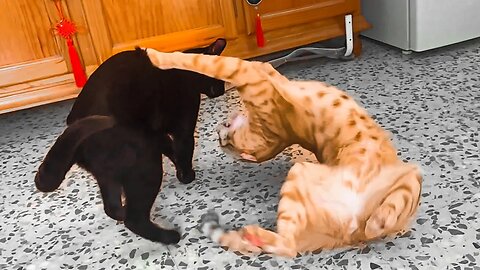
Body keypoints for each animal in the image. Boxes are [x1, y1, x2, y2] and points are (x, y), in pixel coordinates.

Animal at [35, 39, 227, 245]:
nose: (223, 89)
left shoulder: (157, 133)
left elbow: (170, 149)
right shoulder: (182, 128)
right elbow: (184, 152)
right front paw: (187, 176)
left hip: (109, 174)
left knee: (112, 207)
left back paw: (122, 213)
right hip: (146, 162)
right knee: (134, 219)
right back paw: (170, 236)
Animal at [145, 50, 420, 258]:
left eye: (227, 143)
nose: (218, 136)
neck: (277, 136)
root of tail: (352, 230)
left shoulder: (248, 70)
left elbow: (196, 60)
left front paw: (154, 55)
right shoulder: (245, 70)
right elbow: (197, 60)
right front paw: (155, 55)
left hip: (411, 177)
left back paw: (376, 221)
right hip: (302, 175)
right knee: (289, 247)